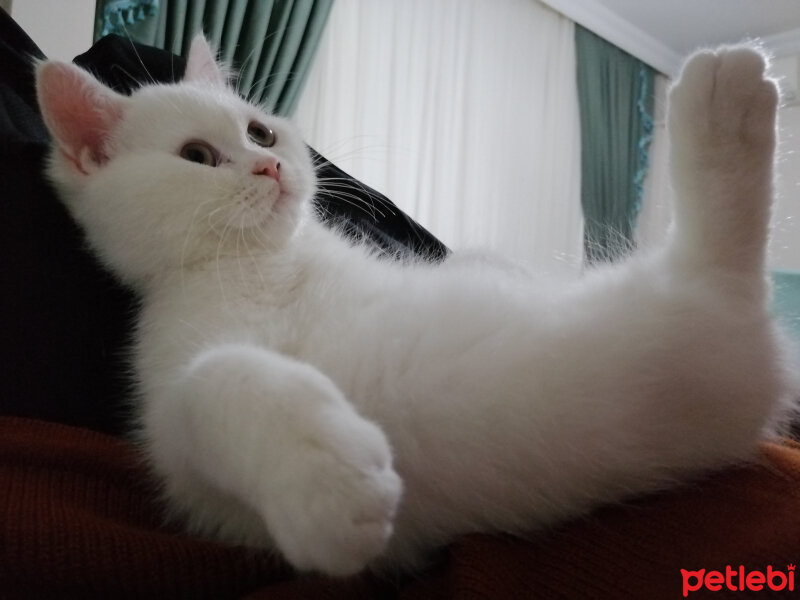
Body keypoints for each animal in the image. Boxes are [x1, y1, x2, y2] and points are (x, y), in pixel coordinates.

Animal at [39, 34, 800, 576]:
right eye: (197, 156)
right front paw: (330, 484)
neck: (266, 264)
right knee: (716, 256)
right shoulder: (177, 424)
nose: (272, 166)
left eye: (259, 132)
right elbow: (212, 380)